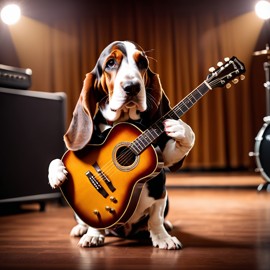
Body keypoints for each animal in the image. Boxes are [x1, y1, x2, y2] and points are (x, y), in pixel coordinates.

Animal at [48, 41, 194, 250]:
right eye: (110, 63)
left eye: (142, 63)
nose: (132, 87)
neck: (122, 119)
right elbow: (57, 159)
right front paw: (57, 173)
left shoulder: (162, 162)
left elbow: (155, 217)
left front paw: (162, 237)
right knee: (86, 221)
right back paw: (84, 230)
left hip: (163, 193)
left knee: (157, 216)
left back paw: (164, 227)